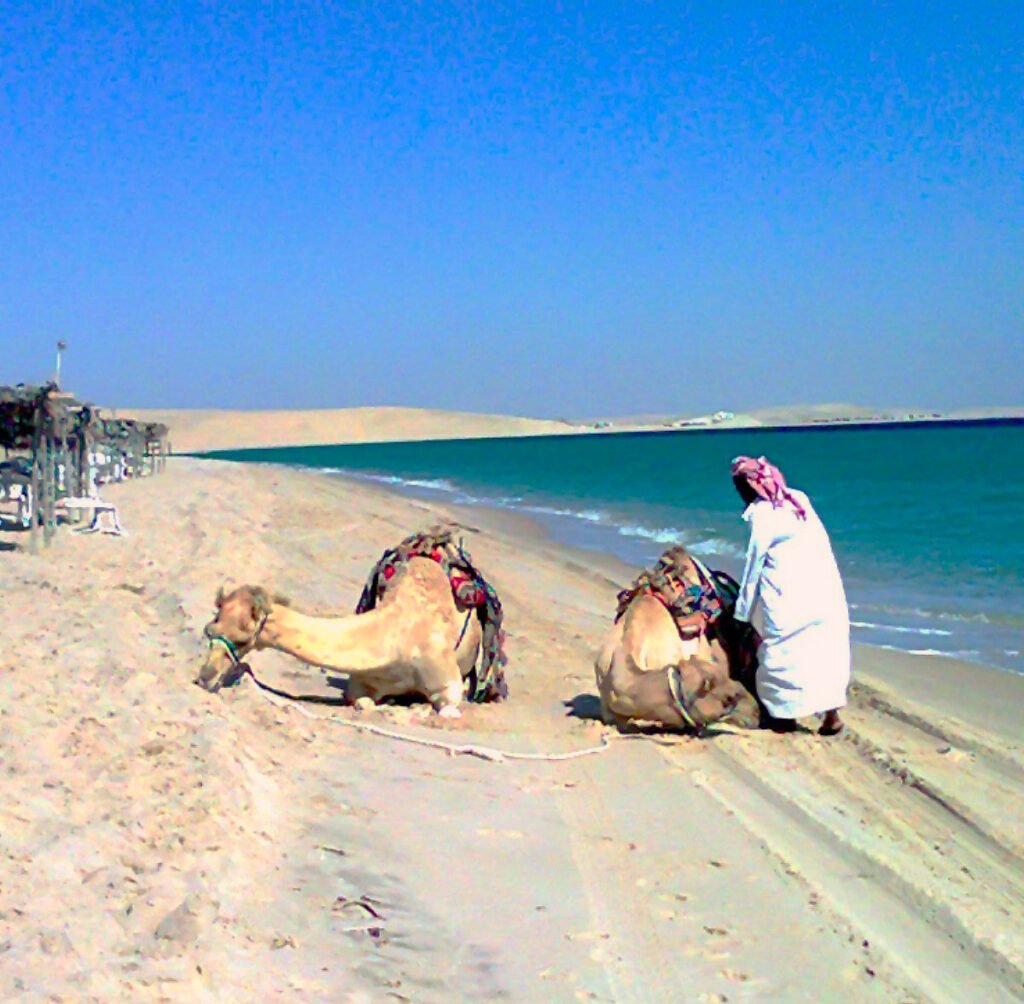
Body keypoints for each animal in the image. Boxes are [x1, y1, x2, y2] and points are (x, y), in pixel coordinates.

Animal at [196, 555, 488, 716]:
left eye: (243, 639)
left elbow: (446, 705)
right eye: (210, 630)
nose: (204, 677)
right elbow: (362, 702)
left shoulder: (446, 678)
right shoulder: (361, 682)